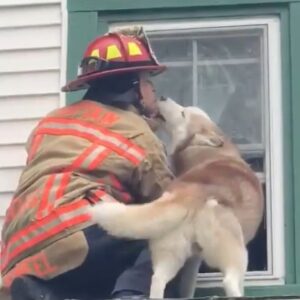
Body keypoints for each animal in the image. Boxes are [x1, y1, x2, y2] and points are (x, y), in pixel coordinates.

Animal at [90, 98, 264, 298]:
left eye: (183, 113)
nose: (162, 97)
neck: (207, 150)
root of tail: (188, 194)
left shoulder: (193, 260)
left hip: (171, 253)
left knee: (157, 279)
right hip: (236, 254)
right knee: (230, 282)